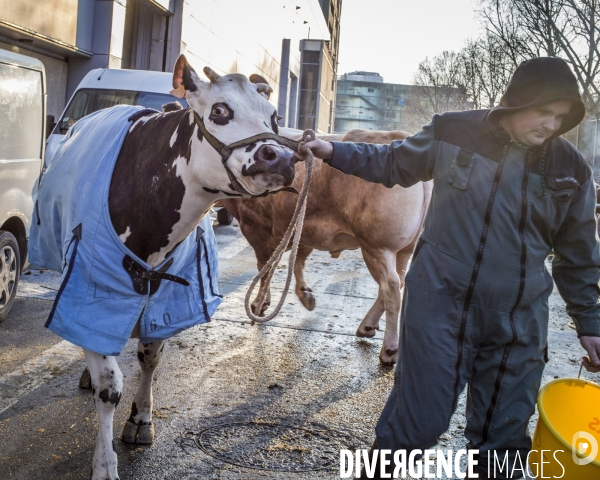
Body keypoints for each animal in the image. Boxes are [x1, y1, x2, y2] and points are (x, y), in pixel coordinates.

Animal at [85, 54, 298, 478]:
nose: (281, 157)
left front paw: (140, 419)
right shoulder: (89, 290)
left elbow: (150, 358)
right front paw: (105, 465)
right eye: (219, 110)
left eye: (275, 116)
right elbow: (108, 385)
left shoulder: (164, 297)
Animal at [218, 127, 434, 364]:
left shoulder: (256, 229)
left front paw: (259, 304)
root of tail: (398, 135)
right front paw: (304, 294)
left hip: (376, 246)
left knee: (391, 286)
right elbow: (298, 261)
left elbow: (264, 269)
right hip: (404, 249)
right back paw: (367, 326)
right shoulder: (305, 230)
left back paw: (389, 348)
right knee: (398, 281)